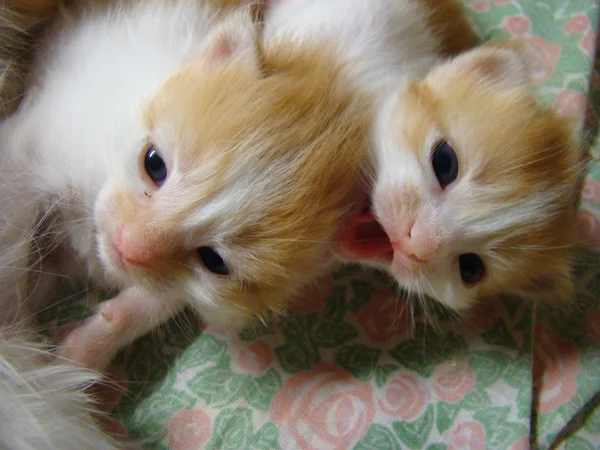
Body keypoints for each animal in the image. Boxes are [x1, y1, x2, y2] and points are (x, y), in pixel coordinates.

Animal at [0, 0, 368, 370]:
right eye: (154, 164)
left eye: (213, 261)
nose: (127, 245)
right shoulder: (31, 147)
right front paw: (26, 359)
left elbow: (166, 298)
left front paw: (84, 351)